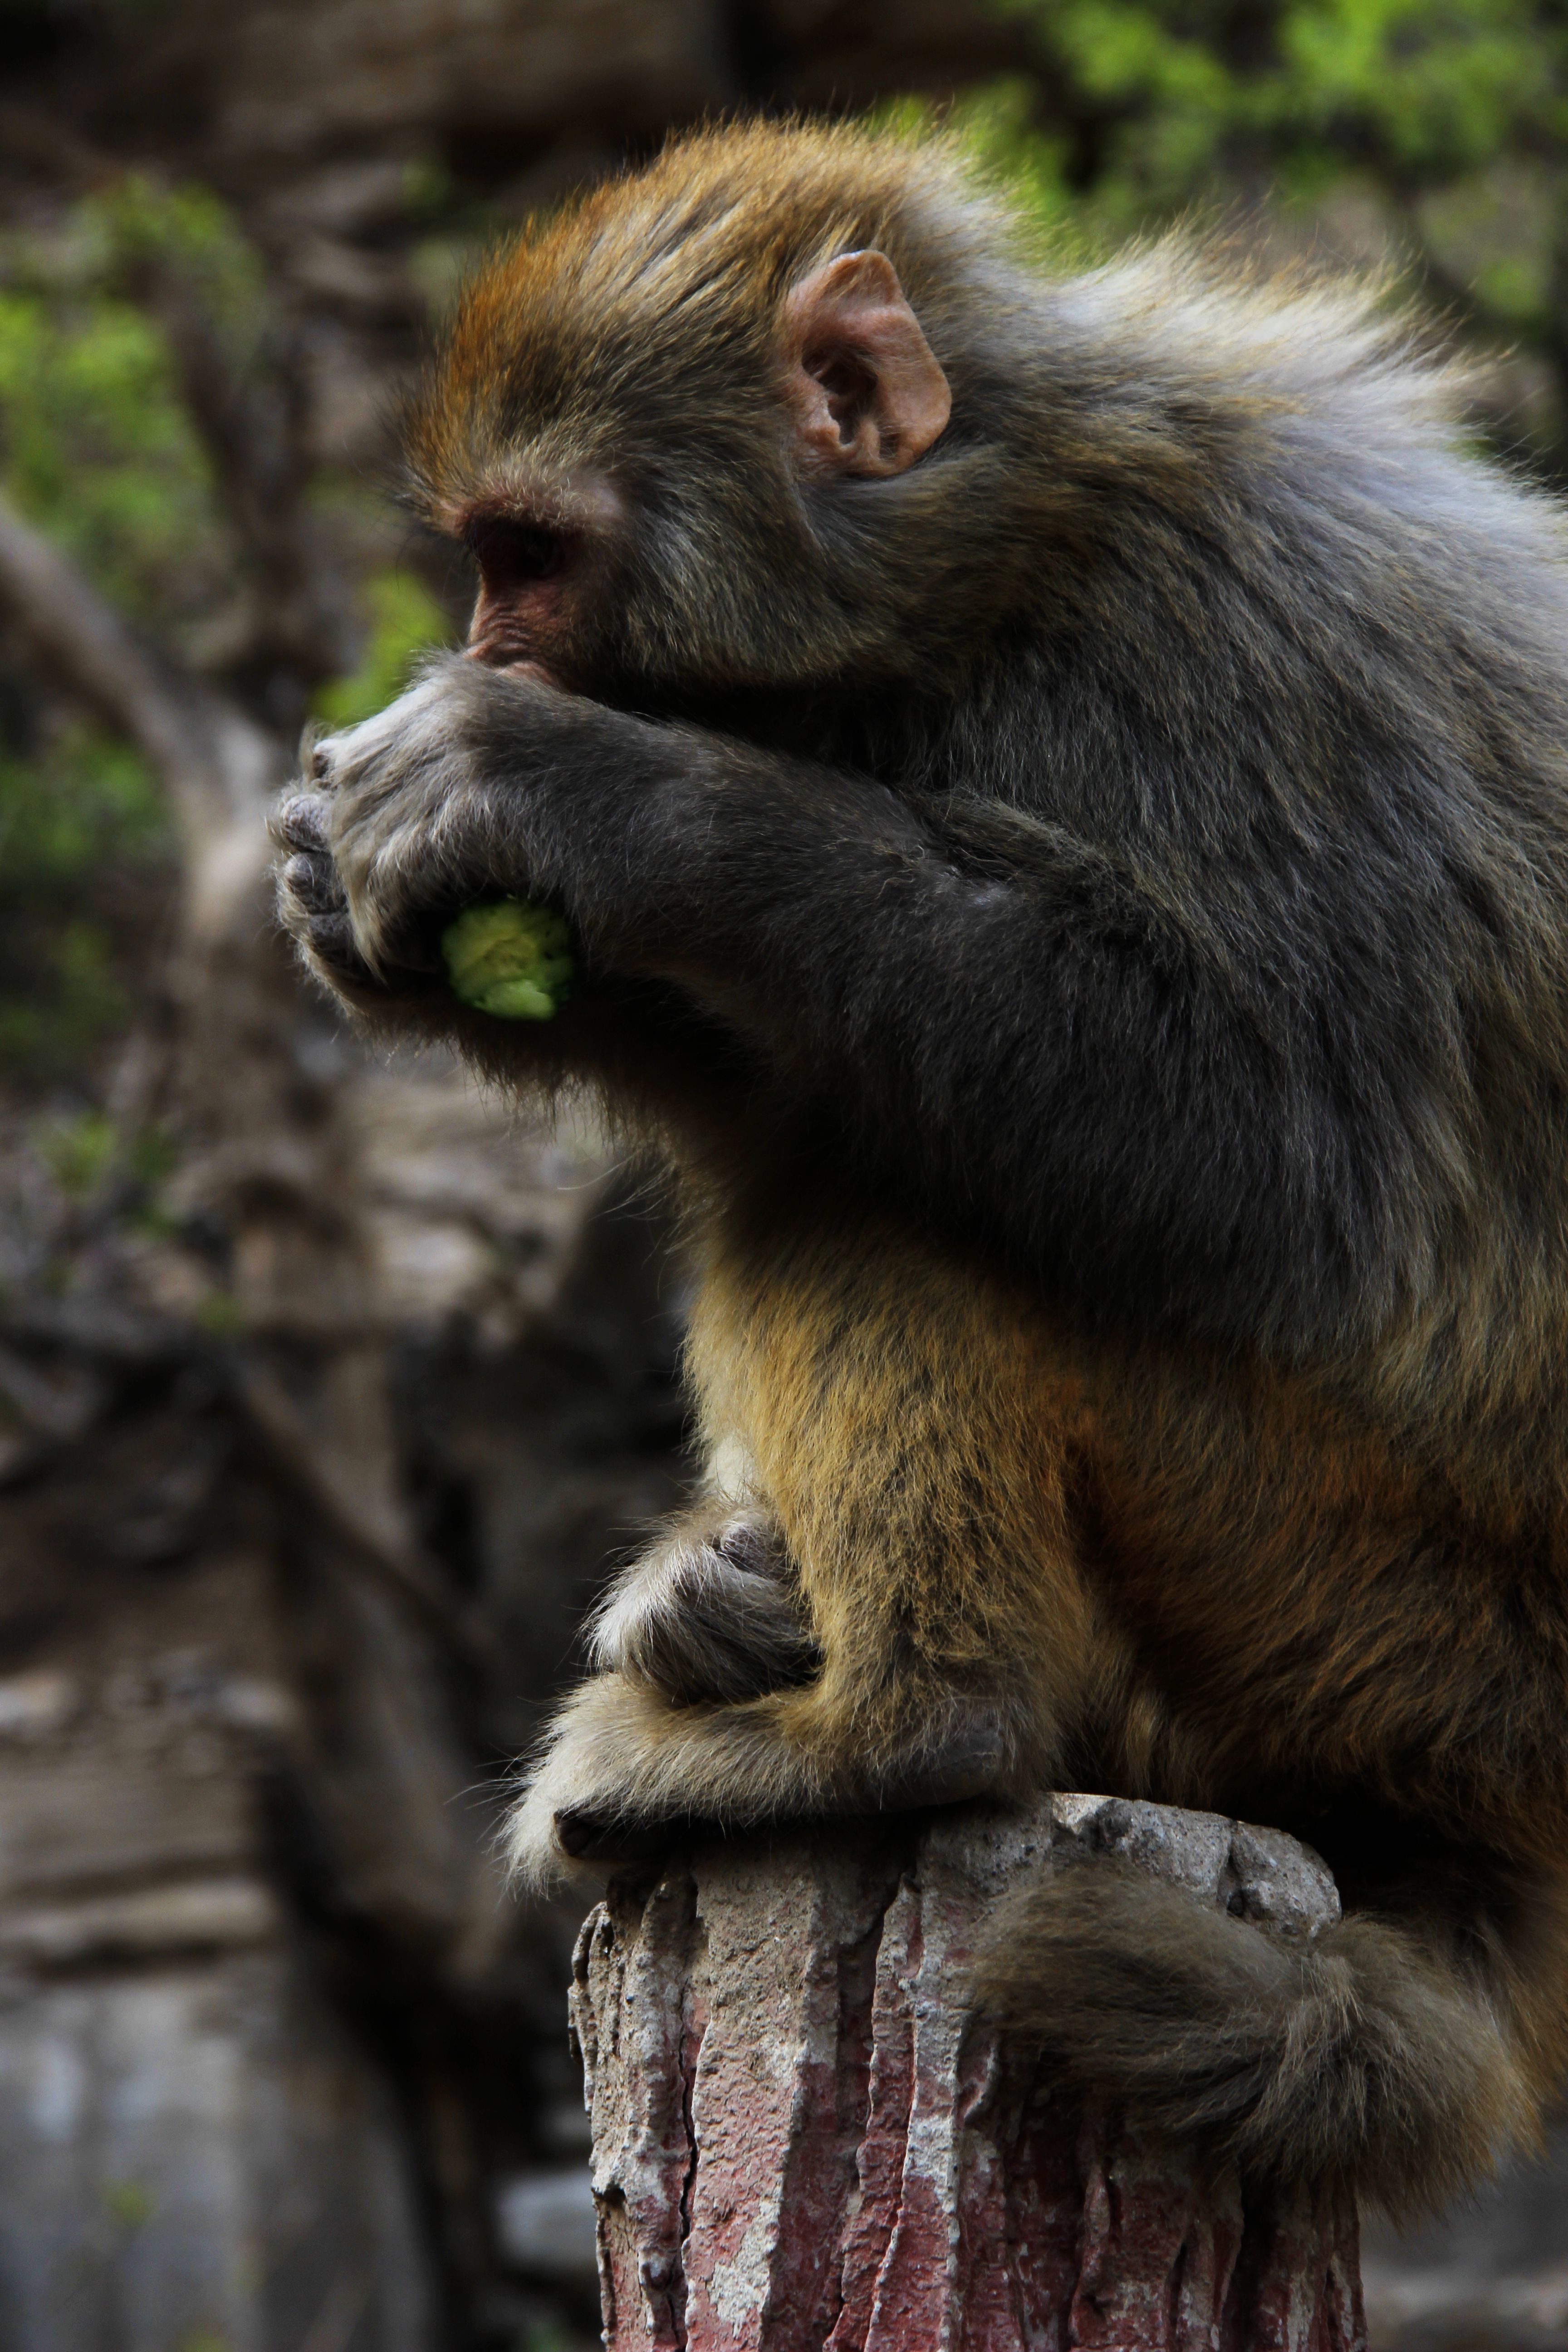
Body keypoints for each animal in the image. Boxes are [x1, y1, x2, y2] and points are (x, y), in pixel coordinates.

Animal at [278, 119, 1568, 2210]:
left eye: (529, 558)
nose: (476, 648)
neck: (1000, 549)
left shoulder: (1240, 643)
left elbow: (1281, 1162)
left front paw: (576, 795)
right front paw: (353, 884)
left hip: (1371, 1598)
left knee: (881, 1193)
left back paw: (913, 1726)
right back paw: (737, 1610)